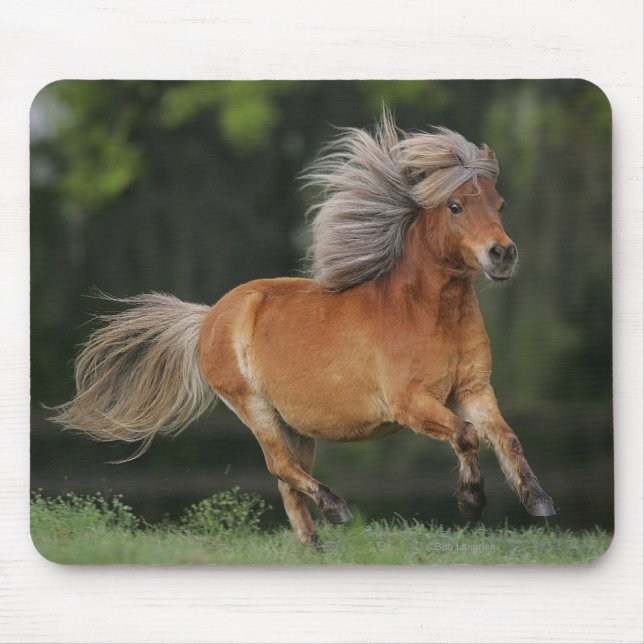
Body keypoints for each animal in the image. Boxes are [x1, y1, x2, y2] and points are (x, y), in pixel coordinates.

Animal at [53, 109, 555, 547]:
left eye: (500, 203)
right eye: (455, 205)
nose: (502, 254)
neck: (428, 314)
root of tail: (209, 317)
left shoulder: (473, 389)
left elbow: (506, 437)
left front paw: (539, 502)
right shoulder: (411, 404)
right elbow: (467, 435)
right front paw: (472, 502)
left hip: (295, 423)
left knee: (288, 481)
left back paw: (313, 544)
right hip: (253, 406)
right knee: (280, 467)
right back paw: (336, 509)